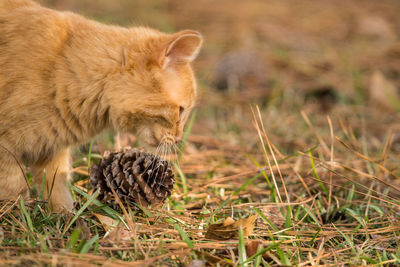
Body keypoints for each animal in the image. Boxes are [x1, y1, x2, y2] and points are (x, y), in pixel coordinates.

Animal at [0, 0, 202, 214]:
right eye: (181, 111)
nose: (179, 138)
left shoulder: (50, 150)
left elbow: (56, 188)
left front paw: (66, 215)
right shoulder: (7, 150)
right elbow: (14, 190)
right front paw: (16, 214)